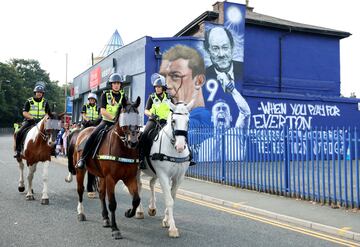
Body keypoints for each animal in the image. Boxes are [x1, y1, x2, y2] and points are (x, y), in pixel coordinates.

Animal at [73, 96, 141, 239]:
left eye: (137, 116)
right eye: (124, 116)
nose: (133, 142)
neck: (123, 148)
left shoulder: (130, 178)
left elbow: (136, 200)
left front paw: (129, 212)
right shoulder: (111, 178)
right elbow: (113, 203)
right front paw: (115, 229)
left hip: (101, 176)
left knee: (101, 193)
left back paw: (105, 218)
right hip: (81, 170)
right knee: (80, 190)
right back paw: (81, 213)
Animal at [135, 100, 193, 237]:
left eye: (188, 121)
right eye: (174, 121)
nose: (180, 146)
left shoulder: (179, 177)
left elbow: (173, 197)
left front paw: (166, 221)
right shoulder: (163, 176)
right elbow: (169, 200)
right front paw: (173, 228)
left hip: (155, 173)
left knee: (151, 183)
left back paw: (152, 208)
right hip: (138, 170)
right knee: (139, 185)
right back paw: (139, 211)